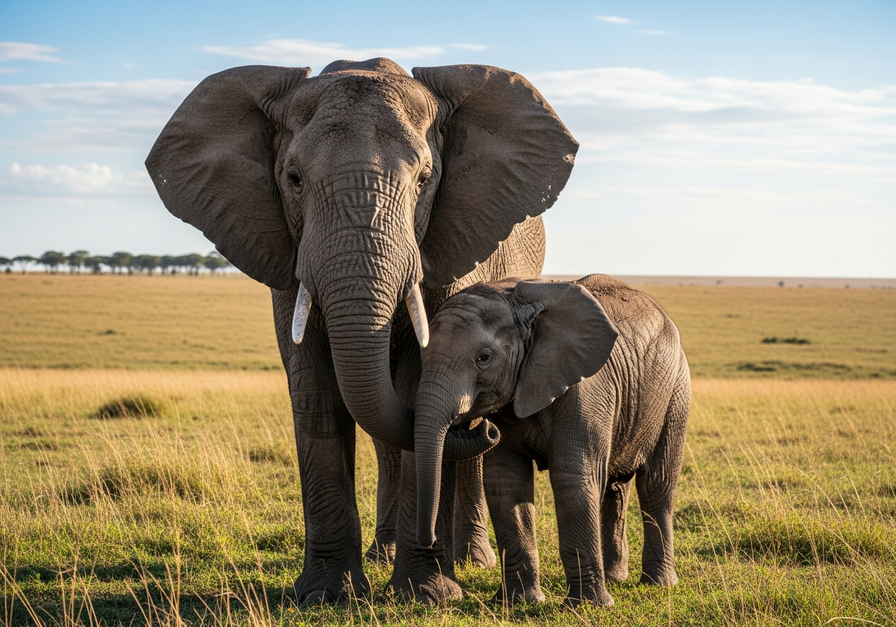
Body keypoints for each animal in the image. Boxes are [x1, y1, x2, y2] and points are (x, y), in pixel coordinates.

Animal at [145, 58, 578, 603]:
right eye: (293, 178)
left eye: (425, 180)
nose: (480, 426)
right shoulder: (288, 257)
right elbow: (315, 389)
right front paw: (326, 595)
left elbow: (419, 382)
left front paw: (426, 596)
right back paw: (384, 554)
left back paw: (468, 559)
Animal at [413, 274, 690, 606]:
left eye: (484, 358)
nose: (485, 429)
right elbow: (506, 483)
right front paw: (519, 602)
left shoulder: (586, 389)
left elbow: (572, 478)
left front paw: (587, 606)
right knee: (615, 488)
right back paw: (615, 578)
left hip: (675, 391)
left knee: (656, 485)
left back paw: (659, 583)